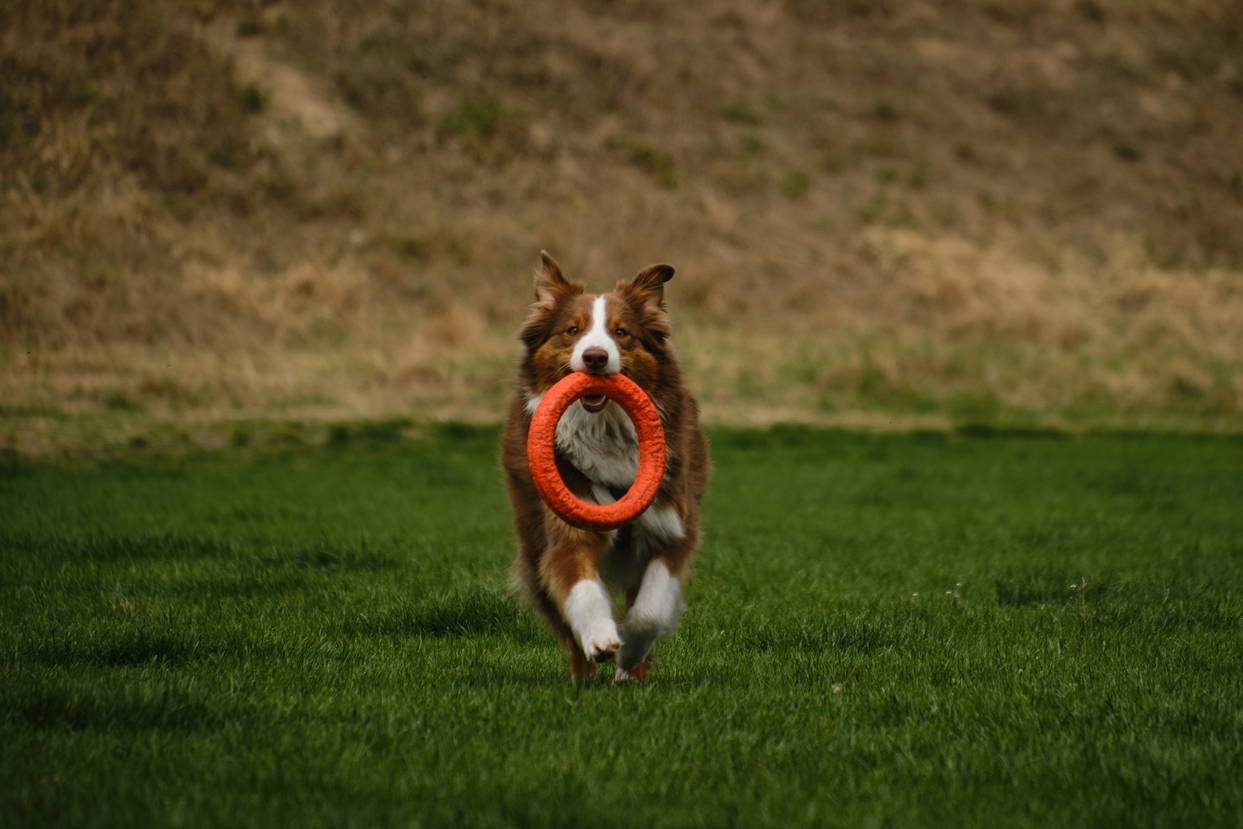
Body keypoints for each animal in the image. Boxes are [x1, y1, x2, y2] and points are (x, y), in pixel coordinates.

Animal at [497, 249, 710, 686]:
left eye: (621, 332)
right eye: (572, 330)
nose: (595, 356)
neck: (606, 428)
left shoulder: (673, 531)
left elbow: (648, 612)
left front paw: (629, 656)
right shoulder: (567, 533)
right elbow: (583, 590)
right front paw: (601, 638)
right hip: (533, 543)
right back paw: (583, 677)